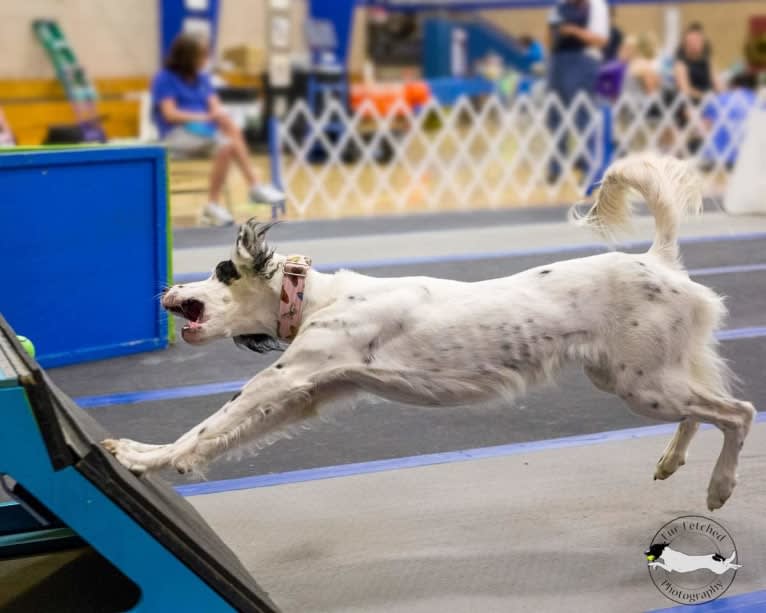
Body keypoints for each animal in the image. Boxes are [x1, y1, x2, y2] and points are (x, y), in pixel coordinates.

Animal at [105, 154, 760, 512]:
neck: (320, 298)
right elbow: (216, 437)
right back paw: (672, 460)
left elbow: (205, 425)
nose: (166, 289)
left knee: (740, 411)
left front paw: (141, 459)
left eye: (219, 271)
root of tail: (658, 259)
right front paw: (155, 460)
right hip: (639, 379)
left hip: (643, 384)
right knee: (703, 408)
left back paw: (720, 487)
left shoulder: (287, 377)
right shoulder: (308, 394)